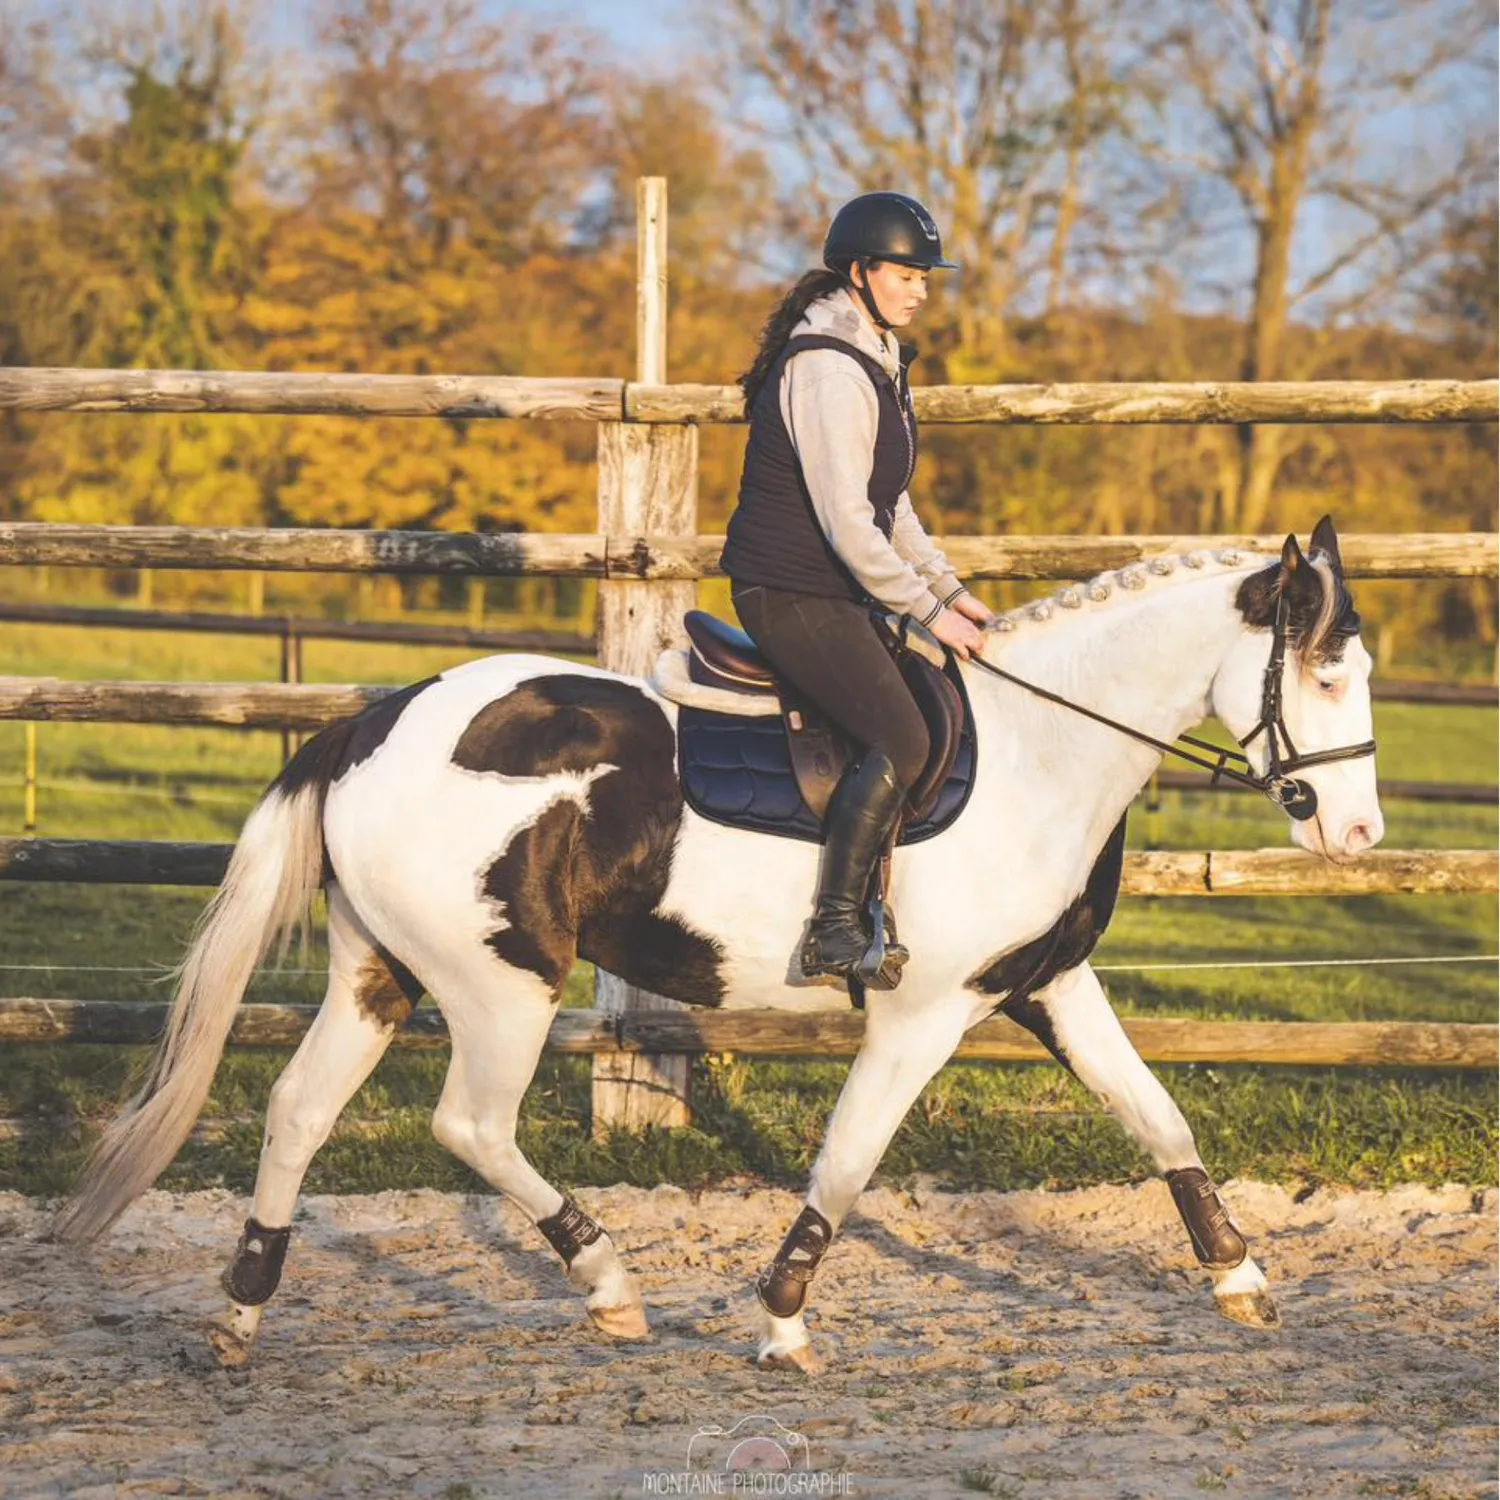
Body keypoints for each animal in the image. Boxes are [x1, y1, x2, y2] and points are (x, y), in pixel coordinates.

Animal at [54, 517, 1382, 1375]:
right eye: (1322, 672)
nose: (1358, 834)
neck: (1037, 753)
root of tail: (375, 720)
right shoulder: (923, 1016)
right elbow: (845, 1165)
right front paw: (783, 1321)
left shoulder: (1046, 986)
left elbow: (1160, 1118)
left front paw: (1240, 1276)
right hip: (500, 986)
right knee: (470, 1126)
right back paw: (607, 1284)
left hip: (377, 975)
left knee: (295, 1111)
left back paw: (240, 1317)